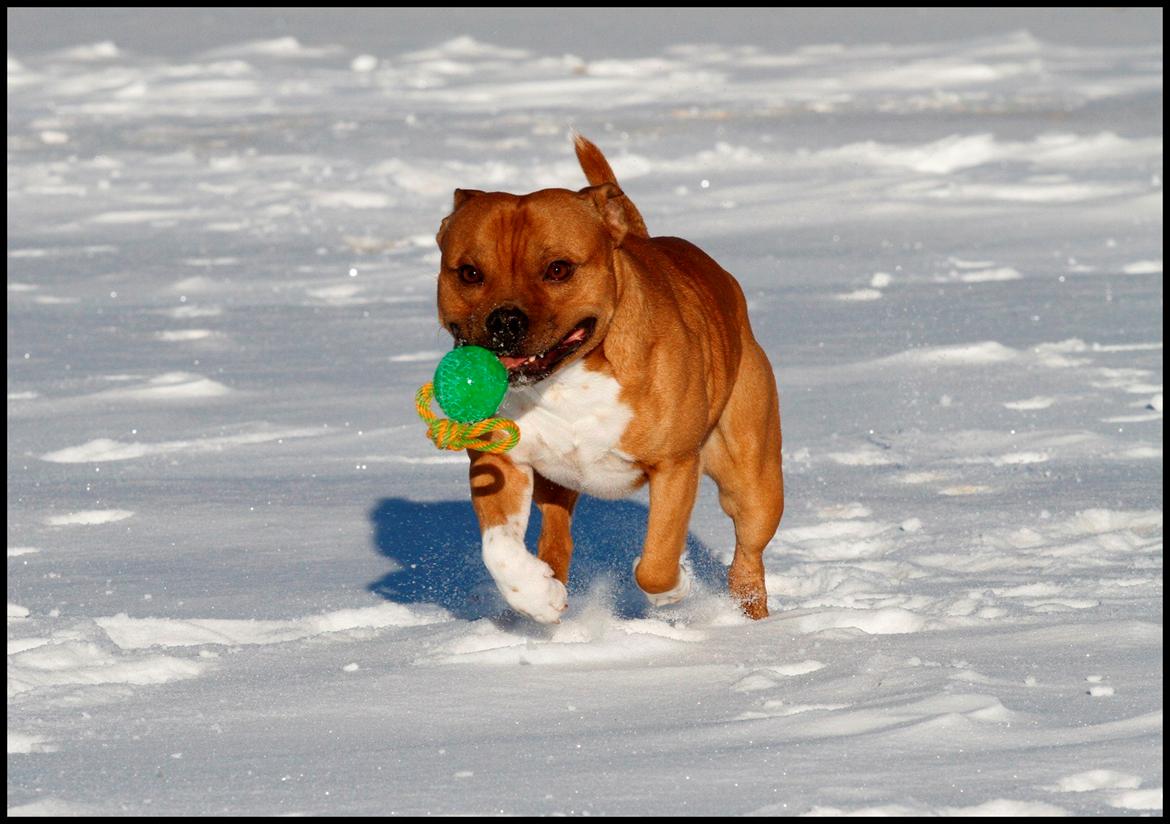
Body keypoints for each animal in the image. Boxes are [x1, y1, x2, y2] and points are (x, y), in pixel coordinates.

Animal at [435, 135, 781, 622]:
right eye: (469, 273)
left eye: (558, 268)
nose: (504, 321)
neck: (565, 380)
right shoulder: (499, 461)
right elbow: (499, 549)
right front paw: (536, 597)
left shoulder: (674, 465)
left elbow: (656, 562)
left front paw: (675, 588)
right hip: (558, 483)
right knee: (557, 536)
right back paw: (551, 585)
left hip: (751, 477)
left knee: (748, 550)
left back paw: (749, 615)